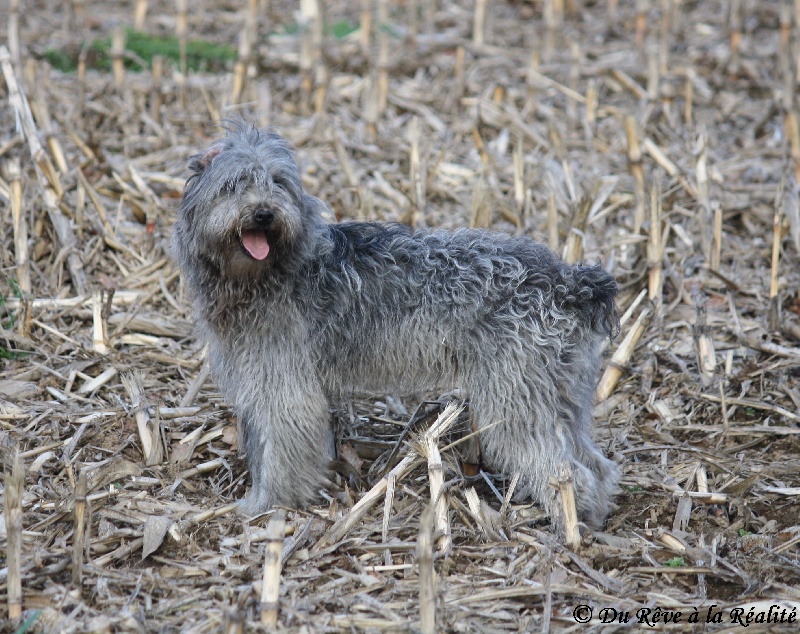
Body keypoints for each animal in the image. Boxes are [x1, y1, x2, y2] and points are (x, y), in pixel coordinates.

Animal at [172, 119, 620, 528]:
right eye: (234, 185)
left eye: (278, 183)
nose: (264, 214)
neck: (269, 272)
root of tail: (569, 281)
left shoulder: (286, 389)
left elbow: (281, 450)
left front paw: (268, 505)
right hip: (559, 396)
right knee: (594, 465)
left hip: (515, 400)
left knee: (564, 472)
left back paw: (568, 528)